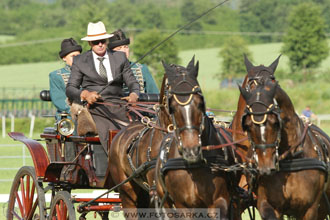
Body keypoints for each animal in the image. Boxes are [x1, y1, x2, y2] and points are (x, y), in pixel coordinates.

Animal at [238, 78, 328, 219]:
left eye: (275, 122)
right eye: (247, 125)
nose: (265, 167)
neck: (293, 157)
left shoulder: (310, 209)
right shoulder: (268, 204)